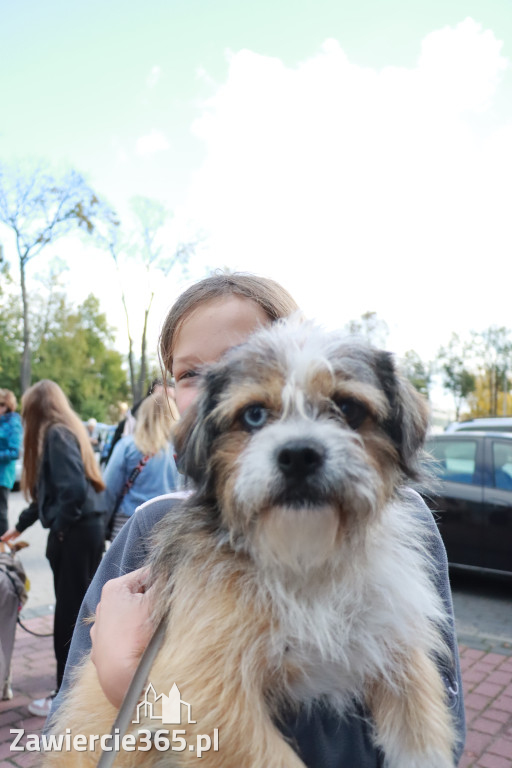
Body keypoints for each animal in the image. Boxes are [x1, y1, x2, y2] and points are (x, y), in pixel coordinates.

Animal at [45, 320, 456, 768]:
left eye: (348, 408)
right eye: (254, 415)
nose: (299, 455)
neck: (304, 557)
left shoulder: (392, 642)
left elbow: (421, 720)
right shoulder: (206, 684)